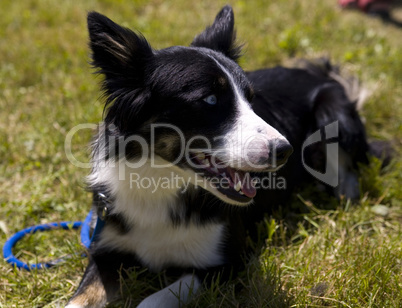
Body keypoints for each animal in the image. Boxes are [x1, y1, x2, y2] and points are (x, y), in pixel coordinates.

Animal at [66, 5, 376, 308]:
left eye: (251, 99)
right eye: (210, 100)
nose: (285, 151)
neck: (160, 180)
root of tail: (320, 74)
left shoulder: (228, 263)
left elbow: (151, 301)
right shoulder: (105, 249)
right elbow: (78, 300)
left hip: (334, 112)